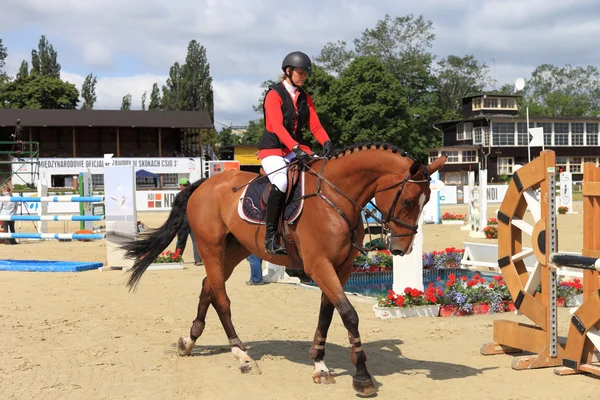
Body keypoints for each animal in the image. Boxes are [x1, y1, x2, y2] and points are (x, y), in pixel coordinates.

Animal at [122, 142, 448, 396]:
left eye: (426, 202)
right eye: (408, 201)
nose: (402, 249)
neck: (337, 197)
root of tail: (204, 183)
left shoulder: (340, 269)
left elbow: (327, 313)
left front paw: (320, 365)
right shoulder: (320, 266)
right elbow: (349, 314)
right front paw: (362, 377)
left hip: (235, 250)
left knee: (208, 288)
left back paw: (189, 341)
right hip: (210, 247)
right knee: (222, 298)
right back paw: (241, 355)